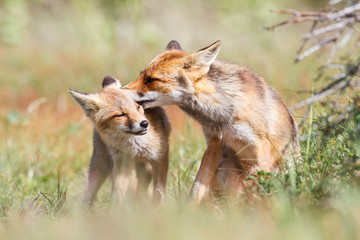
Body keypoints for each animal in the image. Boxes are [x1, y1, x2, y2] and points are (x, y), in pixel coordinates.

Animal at [68, 76, 172, 205]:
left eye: (138, 107)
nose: (145, 123)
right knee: (91, 190)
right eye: (120, 115)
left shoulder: (160, 157)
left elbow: (158, 192)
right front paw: (115, 210)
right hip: (101, 163)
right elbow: (117, 193)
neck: (135, 147)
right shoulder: (122, 163)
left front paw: (158, 208)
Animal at [124, 40, 298, 202]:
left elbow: (259, 186)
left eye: (151, 80)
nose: (122, 91)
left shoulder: (260, 146)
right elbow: (197, 187)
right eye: (141, 74)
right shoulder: (215, 143)